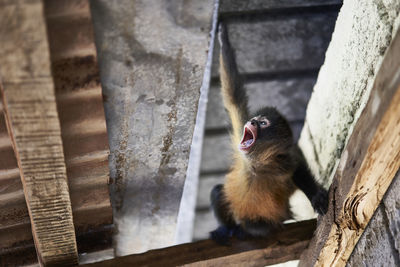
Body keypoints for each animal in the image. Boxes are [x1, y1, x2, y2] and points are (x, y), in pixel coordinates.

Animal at [209, 23, 328, 245]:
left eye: (263, 123)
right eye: (255, 119)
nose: (252, 122)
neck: (256, 165)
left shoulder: (282, 164)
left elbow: (298, 168)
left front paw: (316, 196)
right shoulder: (242, 139)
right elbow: (233, 98)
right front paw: (223, 37)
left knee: (257, 224)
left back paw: (245, 229)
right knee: (218, 192)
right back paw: (228, 228)